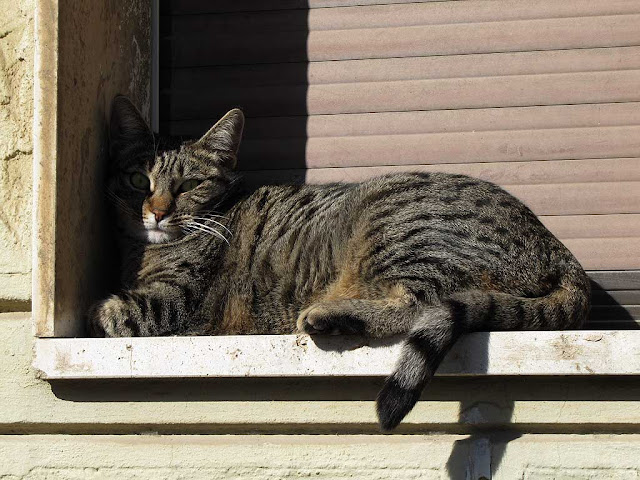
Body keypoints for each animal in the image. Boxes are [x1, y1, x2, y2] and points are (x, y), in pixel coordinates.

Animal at [89, 95, 592, 430]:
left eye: (190, 185)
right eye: (138, 180)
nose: (157, 212)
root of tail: (557, 249)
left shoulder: (174, 304)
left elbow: (110, 314)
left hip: (399, 233)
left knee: (418, 304)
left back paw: (328, 316)